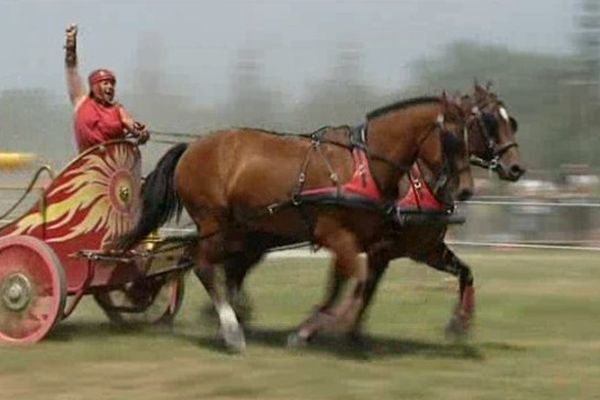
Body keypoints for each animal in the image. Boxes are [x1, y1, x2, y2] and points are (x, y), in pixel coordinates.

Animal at [116, 93, 474, 350]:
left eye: (472, 133)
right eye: (453, 138)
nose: (466, 189)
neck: (363, 166)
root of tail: (192, 147)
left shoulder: (363, 242)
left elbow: (343, 283)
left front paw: (311, 330)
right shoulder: (338, 235)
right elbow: (356, 282)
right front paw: (330, 327)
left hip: (237, 229)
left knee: (213, 265)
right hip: (213, 221)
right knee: (202, 264)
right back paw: (231, 331)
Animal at [220, 83, 524, 344]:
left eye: (511, 122)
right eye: (490, 122)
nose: (516, 168)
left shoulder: (423, 248)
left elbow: (464, 272)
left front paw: (458, 323)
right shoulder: (376, 247)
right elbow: (360, 288)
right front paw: (333, 329)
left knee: (235, 268)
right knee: (231, 267)